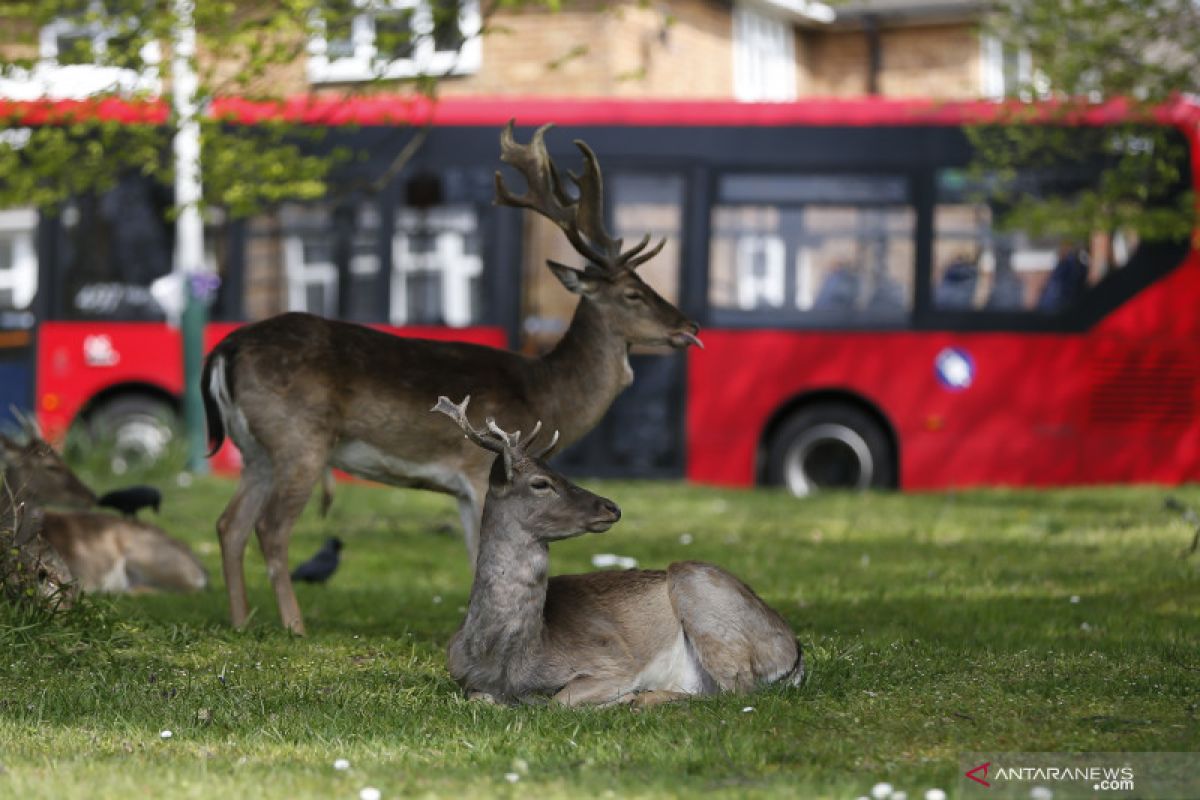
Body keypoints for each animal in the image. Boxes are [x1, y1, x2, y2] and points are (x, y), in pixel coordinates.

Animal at [201, 120, 700, 633]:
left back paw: (240, 622)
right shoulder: (479, 468)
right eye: (632, 293)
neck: (547, 393)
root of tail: (225, 348)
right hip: (300, 439)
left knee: (229, 523)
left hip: (255, 448)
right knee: (270, 527)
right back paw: (295, 627)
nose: (689, 326)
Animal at [434, 395, 806, 705]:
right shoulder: (462, 678)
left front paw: (622, 697)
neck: (505, 662)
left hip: (703, 597)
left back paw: (643, 699)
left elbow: (559, 701)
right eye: (541, 482)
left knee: (735, 691)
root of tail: (794, 650)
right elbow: (479, 699)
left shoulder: (613, 661)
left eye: (561, 471)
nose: (612, 507)